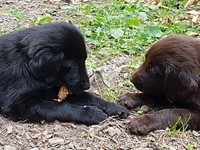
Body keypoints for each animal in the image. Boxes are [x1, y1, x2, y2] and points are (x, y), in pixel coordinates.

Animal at [0, 22, 129, 124]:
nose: (87, 86)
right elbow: (58, 107)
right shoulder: (17, 105)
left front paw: (112, 106)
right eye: (73, 65)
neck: (27, 66)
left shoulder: (53, 90)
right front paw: (90, 113)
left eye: (84, 61)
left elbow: (87, 96)